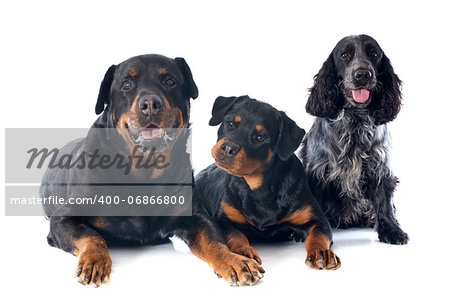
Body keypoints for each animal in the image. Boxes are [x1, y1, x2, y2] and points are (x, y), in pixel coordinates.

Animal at [40, 55, 264, 286]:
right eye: (126, 84)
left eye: (170, 81)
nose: (149, 104)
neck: (143, 171)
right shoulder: (63, 218)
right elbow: (92, 236)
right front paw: (94, 260)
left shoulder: (197, 217)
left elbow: (214, 241)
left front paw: (234, 260)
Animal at [197, 95, 342, 268]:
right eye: (230, 123)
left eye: (261, 138)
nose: (228, 148)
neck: (258, 188)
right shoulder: (223, 220)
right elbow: (235, 235)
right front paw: (242, 252)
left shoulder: (319, 220)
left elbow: (318, 235)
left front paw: (321, 252)